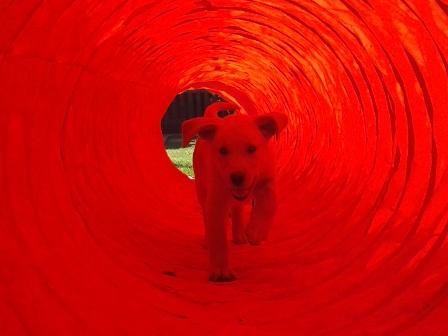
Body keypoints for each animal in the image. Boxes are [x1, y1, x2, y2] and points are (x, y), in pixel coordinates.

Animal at [181, 102, 288, 280]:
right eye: (223, 150)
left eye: (252, 148)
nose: (237, 178)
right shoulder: (216, 200)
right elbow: (218, 235)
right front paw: (221, 271)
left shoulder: (269, 179)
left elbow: (270, 201)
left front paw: (256, 231)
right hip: (202, 191)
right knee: (207, 215)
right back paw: (208, 240)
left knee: (237, 209)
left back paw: (240, 235)